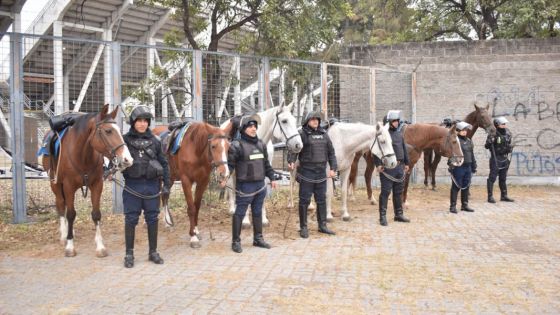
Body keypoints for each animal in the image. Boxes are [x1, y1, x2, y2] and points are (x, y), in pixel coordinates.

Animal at [41, 105, 133, 258]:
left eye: (120, 131)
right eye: (108, 131)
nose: (127, 159)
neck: (82, 155)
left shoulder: (97, 185)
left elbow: (96, 214)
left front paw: (100, 247)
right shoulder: (68, 186)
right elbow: (71, 214)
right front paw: (70, 246)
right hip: (55, 183)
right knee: (61, 205)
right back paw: (64, 235)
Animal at [151, 121, 232, 249]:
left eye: (228, 147)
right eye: (213, 146)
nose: (224, 173)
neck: (195, 150)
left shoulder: (203, 181)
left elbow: (197, 206)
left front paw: (196, 231)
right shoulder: (186, 181)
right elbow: (191, 208)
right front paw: (193, 237)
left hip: (170, 178)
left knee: (165, 196)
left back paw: (168, 223)